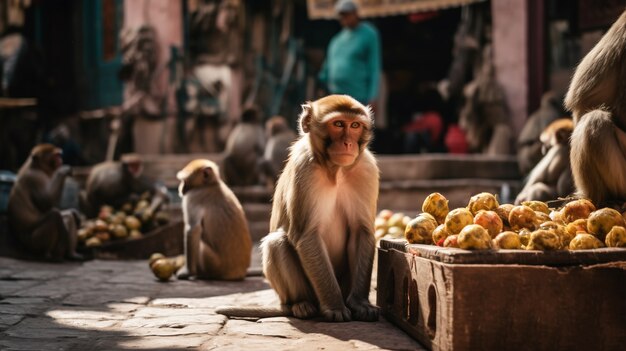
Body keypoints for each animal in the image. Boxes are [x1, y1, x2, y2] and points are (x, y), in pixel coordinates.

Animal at [217, 95, 378, 324]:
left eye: (355, 125)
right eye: (338, 124)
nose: (348, 143)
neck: (336, 170)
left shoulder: (366, 168)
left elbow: (361, 232)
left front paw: (360, 303)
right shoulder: (305, 168)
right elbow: (306, 236)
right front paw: (335, 306)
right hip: (301, 292)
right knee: (277, 243)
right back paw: (301, 304)